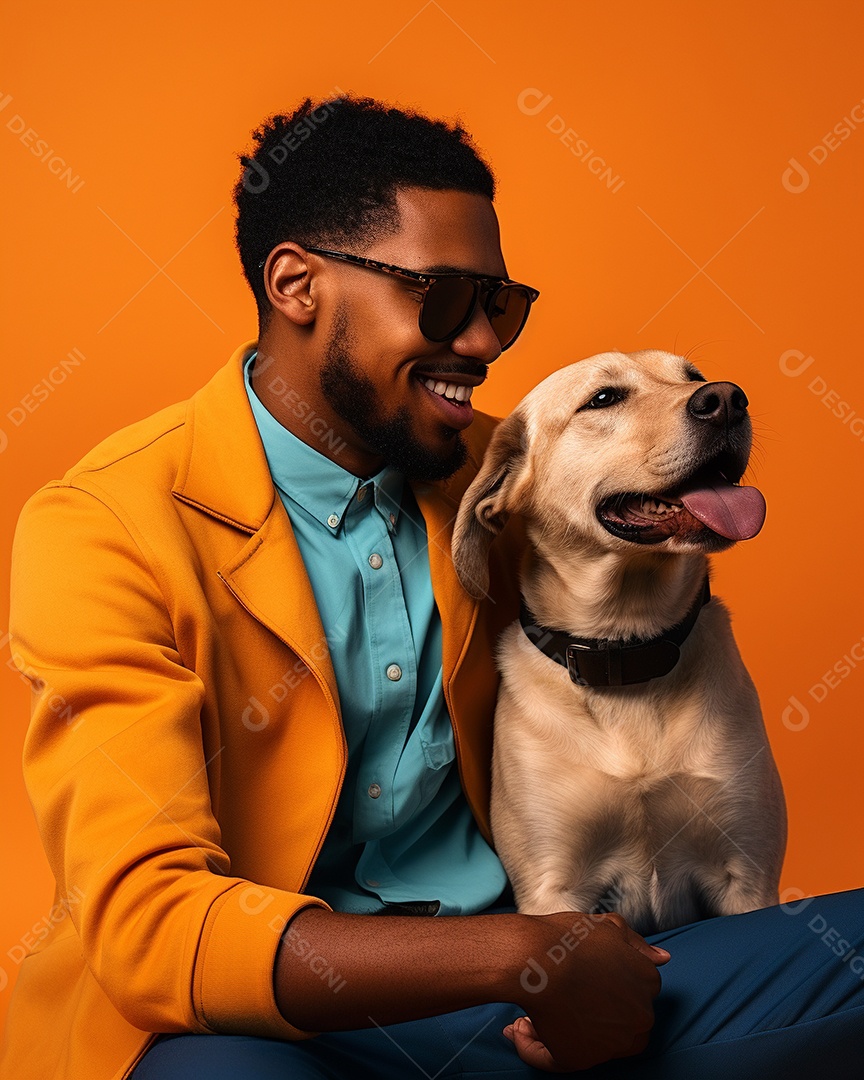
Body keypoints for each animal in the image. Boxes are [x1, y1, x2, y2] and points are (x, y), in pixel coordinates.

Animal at [451, 349, 790, 933]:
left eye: (694, 377)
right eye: (604, 398)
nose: (727, 398)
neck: (627, 645)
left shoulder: (747, 878)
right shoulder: (553, 889)